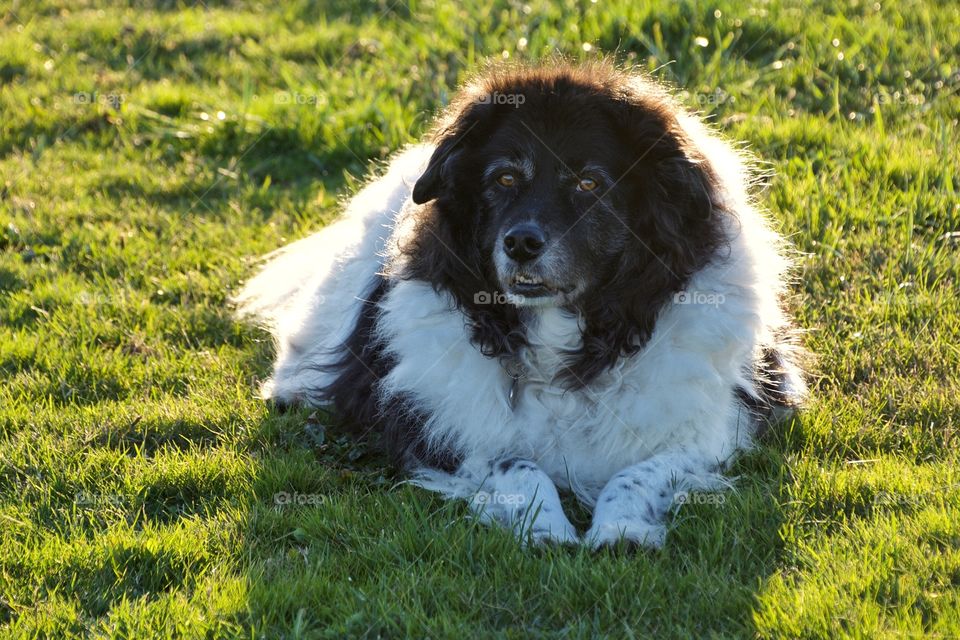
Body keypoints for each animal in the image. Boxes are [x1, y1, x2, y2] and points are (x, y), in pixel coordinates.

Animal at [236, 62, 808, 548]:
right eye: (505, 178)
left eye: (589, 184)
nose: (520, 243)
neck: (567, 334)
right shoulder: (437, 427)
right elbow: (515, 465)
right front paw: (546, 527)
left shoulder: (706, 429)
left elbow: (640, 471)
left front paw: (621, 528)